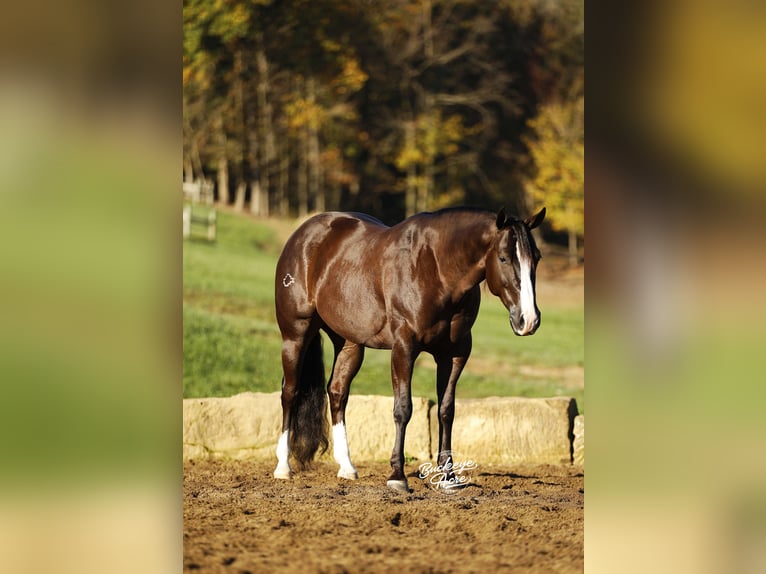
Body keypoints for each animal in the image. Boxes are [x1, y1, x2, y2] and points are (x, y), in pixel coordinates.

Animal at [273, 206, 546, 492]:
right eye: (503, 258)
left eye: (536, 258)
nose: (529, 320)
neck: (436, 269)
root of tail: (305, 233)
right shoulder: (404, 348)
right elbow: (403, 409)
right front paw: (397, 475)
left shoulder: (455, 353)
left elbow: (447, 410)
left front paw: (448, 477)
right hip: (296, 335)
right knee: (290, 392)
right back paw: (283, 467)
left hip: (350, 343)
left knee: (337, 393)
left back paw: (346, 467)